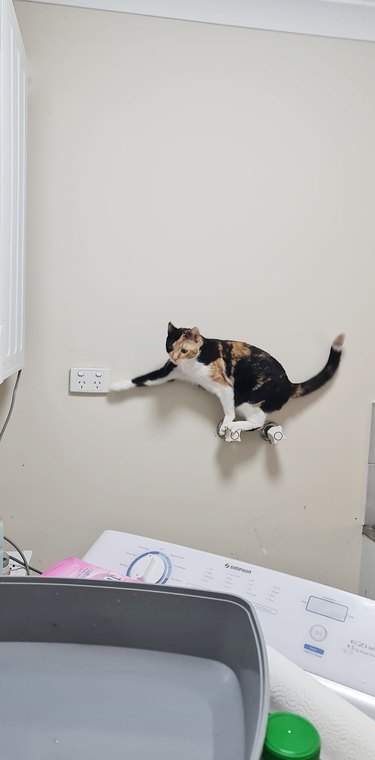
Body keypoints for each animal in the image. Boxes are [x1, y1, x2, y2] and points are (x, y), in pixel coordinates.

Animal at [110, 324, 346, 436]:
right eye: (170, 346)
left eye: (184, 350)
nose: (174, 357)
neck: (190, 365)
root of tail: (289, 384)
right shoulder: (168, 373)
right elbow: (141, 379)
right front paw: (114, 385)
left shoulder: (225, 387)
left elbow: (228, 410)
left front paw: (225, 424)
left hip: (247, 398)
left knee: (258, 421)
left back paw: (234, 427)